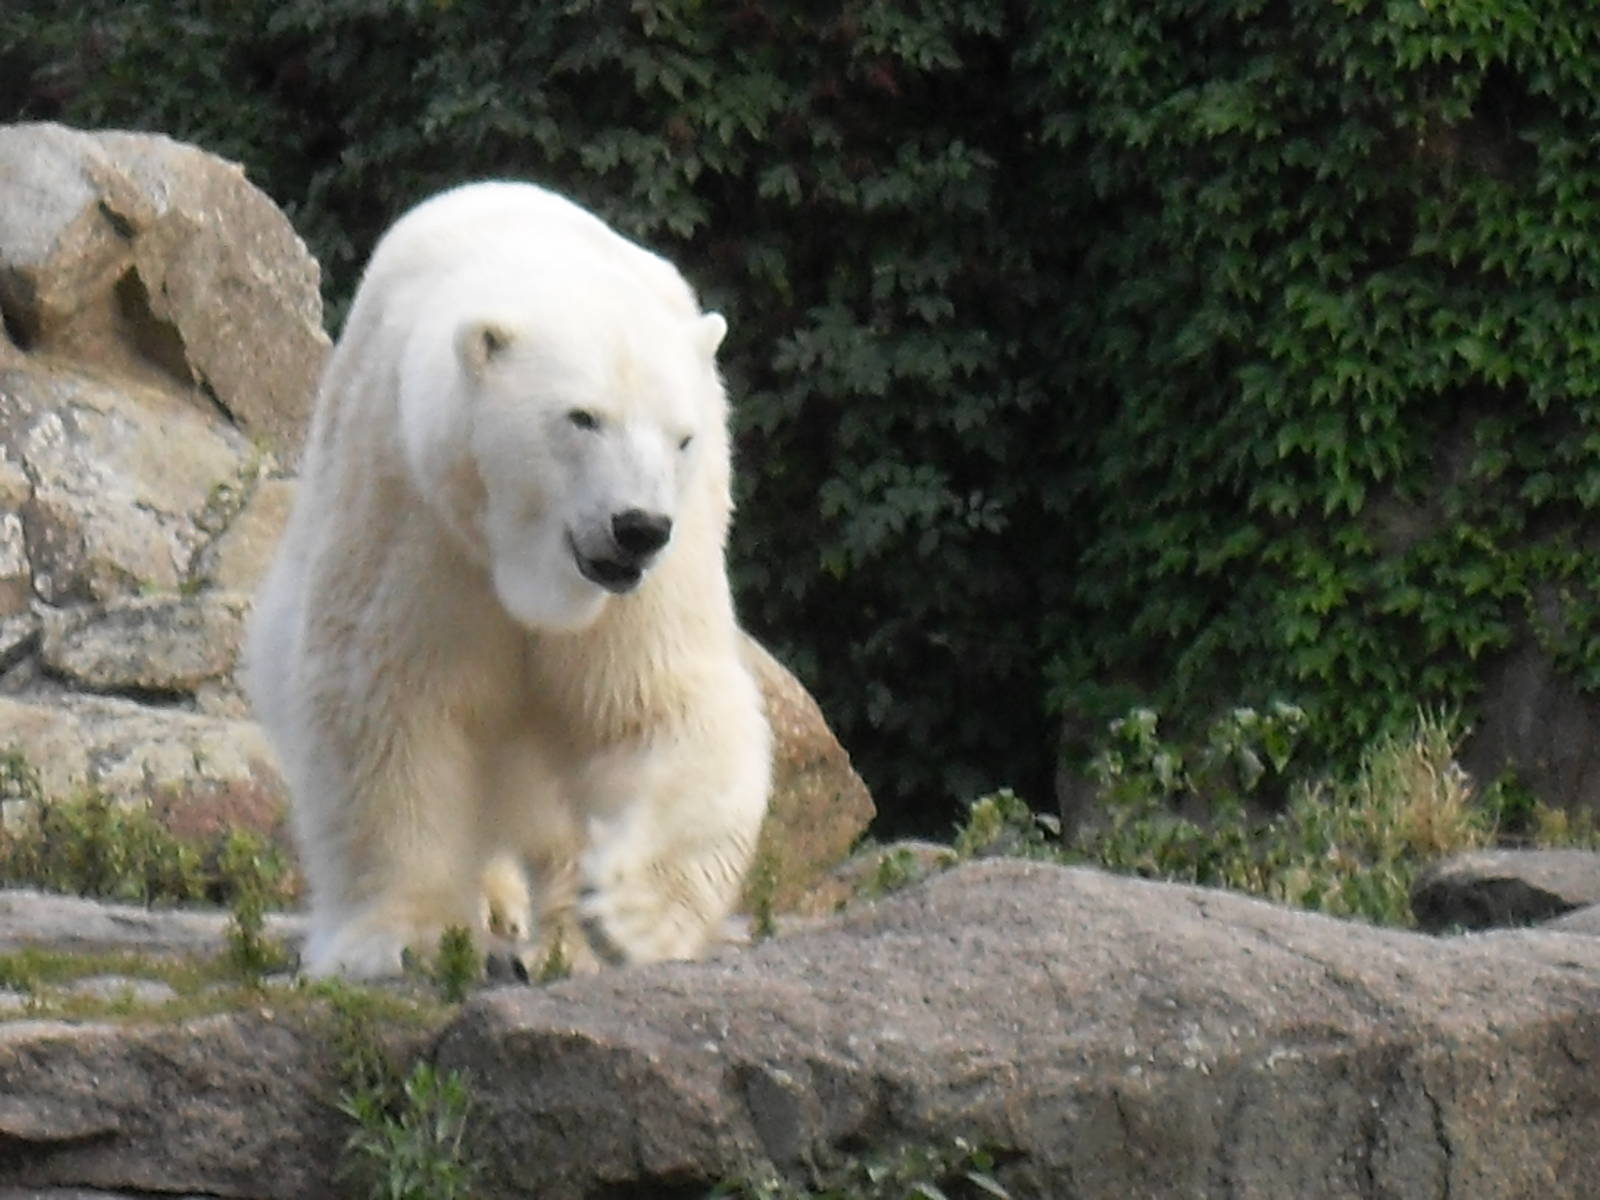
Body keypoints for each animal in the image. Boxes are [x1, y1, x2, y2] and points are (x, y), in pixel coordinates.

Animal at [245, 181, 772, 978]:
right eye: (582, 418)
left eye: (683, 436)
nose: (638, 526)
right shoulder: (416, 511)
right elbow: (389, 701)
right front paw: (401, 936)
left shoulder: (655, 581)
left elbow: (662, 705)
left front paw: (626, 917)